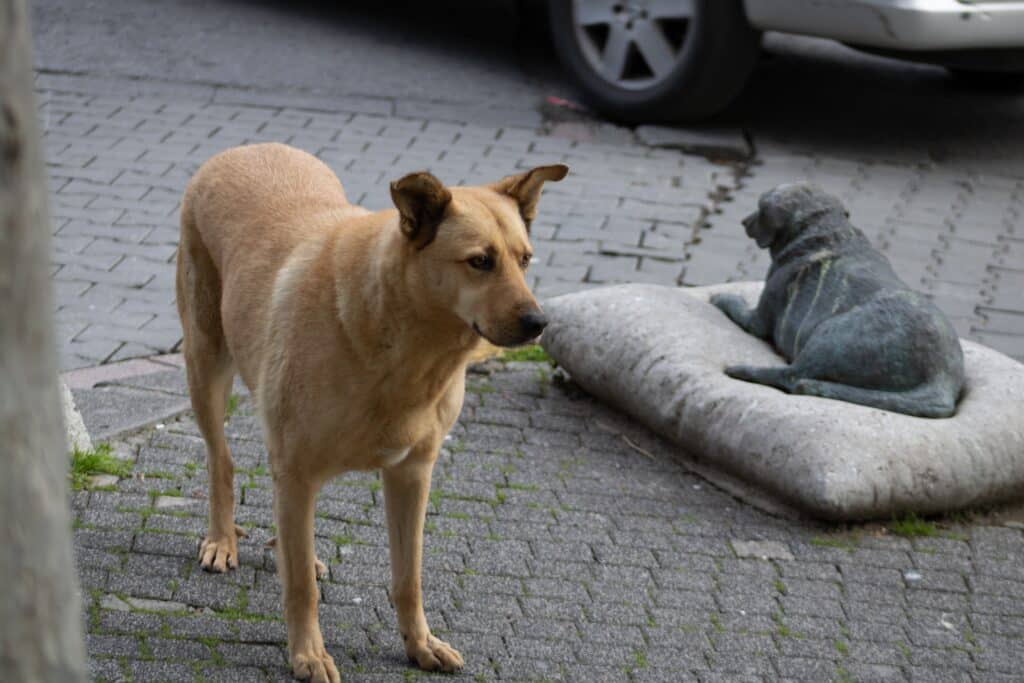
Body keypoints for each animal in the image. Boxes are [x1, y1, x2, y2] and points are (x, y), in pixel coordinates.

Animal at [173, 141, 565, 679]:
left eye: (525, 260)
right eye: (480, 261)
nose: (538, 323)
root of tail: (246, 147)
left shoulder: (412, 473)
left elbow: (408, 577)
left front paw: (420, 645)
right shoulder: (295, 471)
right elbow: (301, 588)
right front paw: (308, 654)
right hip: (205, 365)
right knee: (221, 460)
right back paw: (221, 540)